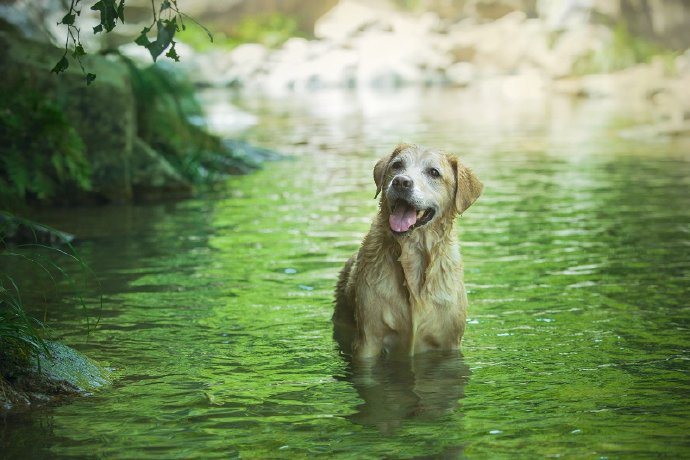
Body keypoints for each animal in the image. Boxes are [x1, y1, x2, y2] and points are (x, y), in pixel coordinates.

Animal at [332, 144, 482, 360]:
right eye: (397, 165)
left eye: (434, 172)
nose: (401, 182)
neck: (414, 254)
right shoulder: (368, 341)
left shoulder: (449, 341)